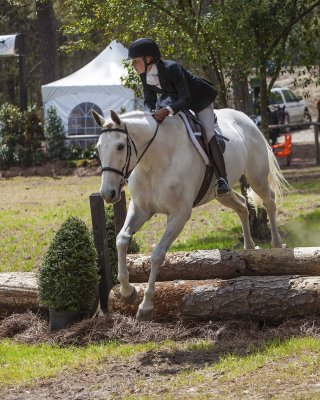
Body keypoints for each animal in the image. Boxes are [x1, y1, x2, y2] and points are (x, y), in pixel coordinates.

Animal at [91, 108, 286, 320]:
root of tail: (246, 118)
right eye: (99, 147)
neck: (153, 161)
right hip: (221, 194)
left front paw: (145, 306)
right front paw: (128, 292)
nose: (108, 194)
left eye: (120, 146)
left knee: (270, 202)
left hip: (256, 177)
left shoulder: (179, 215)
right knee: (242, 205)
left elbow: (157, 255)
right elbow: (121, 240)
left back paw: (277, 245)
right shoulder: (141, 210)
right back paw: (249, 248)